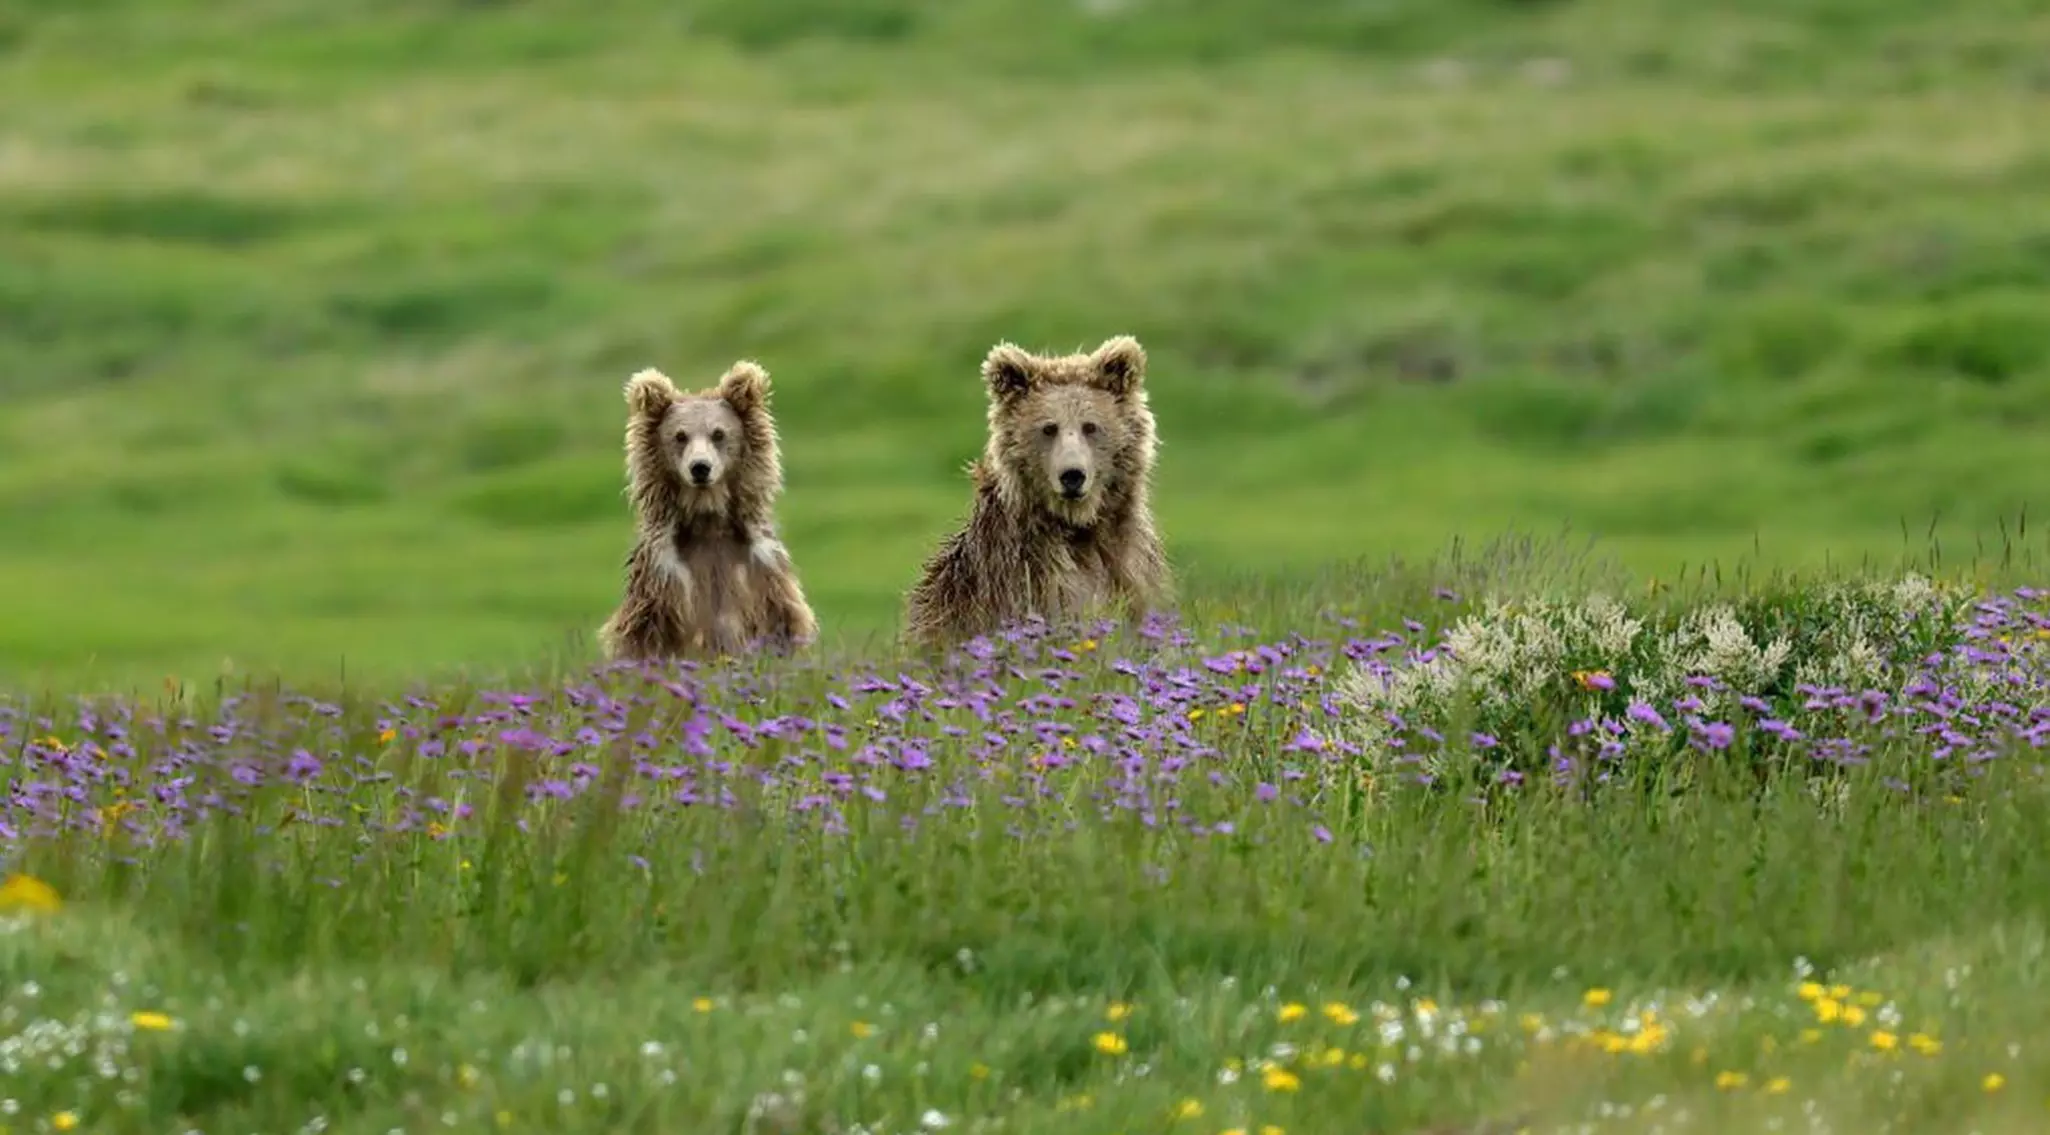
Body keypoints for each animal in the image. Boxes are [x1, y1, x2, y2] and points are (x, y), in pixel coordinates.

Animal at [597, 360, 820, 664]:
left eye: (718, 433)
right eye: (680, 436)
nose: (700, 467)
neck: (708, 519)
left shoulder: (762, 569)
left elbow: (781, 622)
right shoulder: (664, 576)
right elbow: (648, 635)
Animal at [902, 335, 1174, 649]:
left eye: (1090, 426)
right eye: (1049, 428)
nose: (1072, 476)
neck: (1079, 527)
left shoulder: (1126, 559)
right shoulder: (1023, 572)